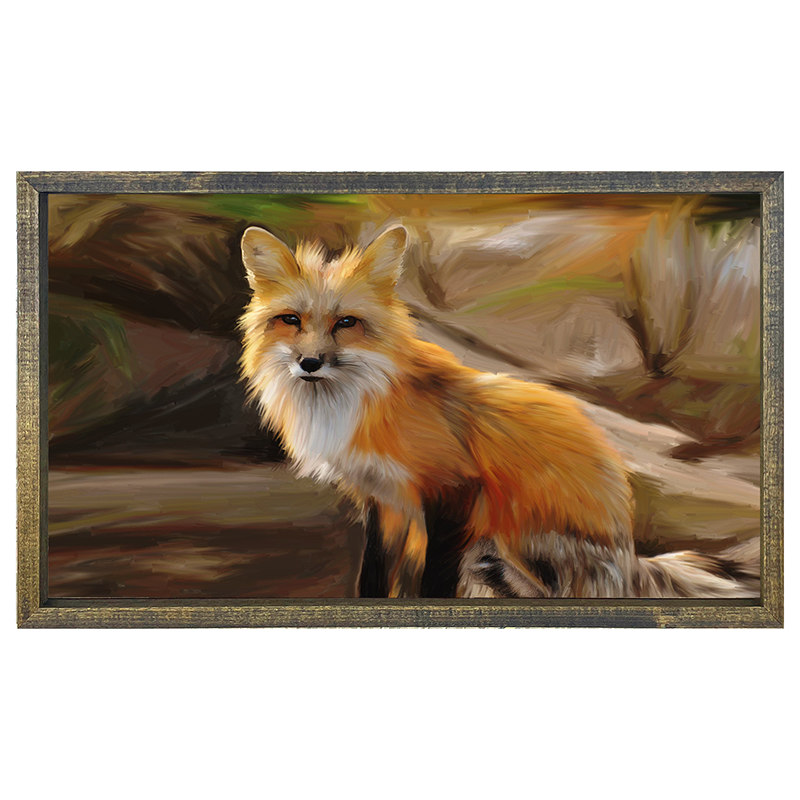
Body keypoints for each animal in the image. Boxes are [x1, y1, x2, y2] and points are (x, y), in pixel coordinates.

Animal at [238, 224, 759, 599]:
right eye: (291, 320)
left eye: (346, 322)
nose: (310, 363)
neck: (355, 404)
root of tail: (630, 561)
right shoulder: (380, 499)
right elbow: (373, 575)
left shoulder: (456, 491)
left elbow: (434, 581)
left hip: (507, 543)